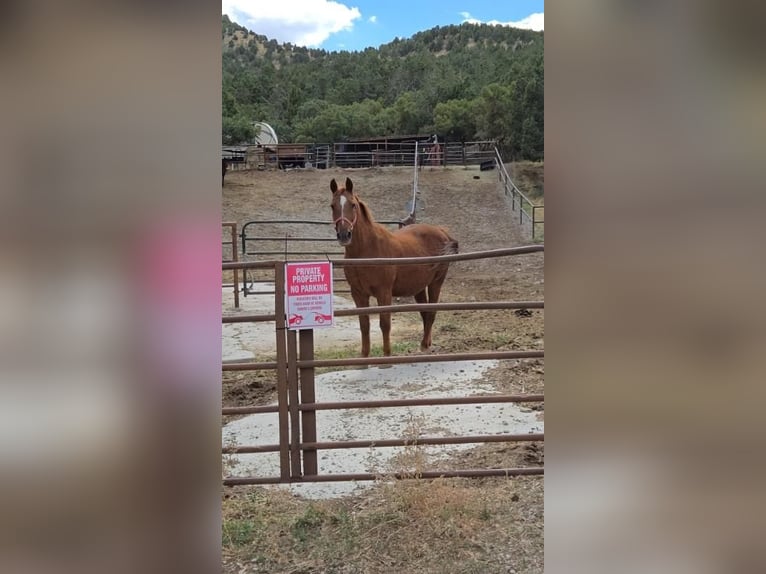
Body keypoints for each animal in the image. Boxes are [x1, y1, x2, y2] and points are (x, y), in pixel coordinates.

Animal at [328, 179, 460, 360]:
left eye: (353, 205)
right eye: (332, 206)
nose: (344, 235)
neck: (367, 250)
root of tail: (442, 231)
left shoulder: (384, 292)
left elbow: (385, 324)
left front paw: (387, 356)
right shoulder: (358, 293)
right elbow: (364, 325)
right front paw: (364, 357)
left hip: (436, 282)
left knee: (432, 312)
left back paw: (425, 346)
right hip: (418, 287)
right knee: (425, 313)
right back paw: (425, 344)